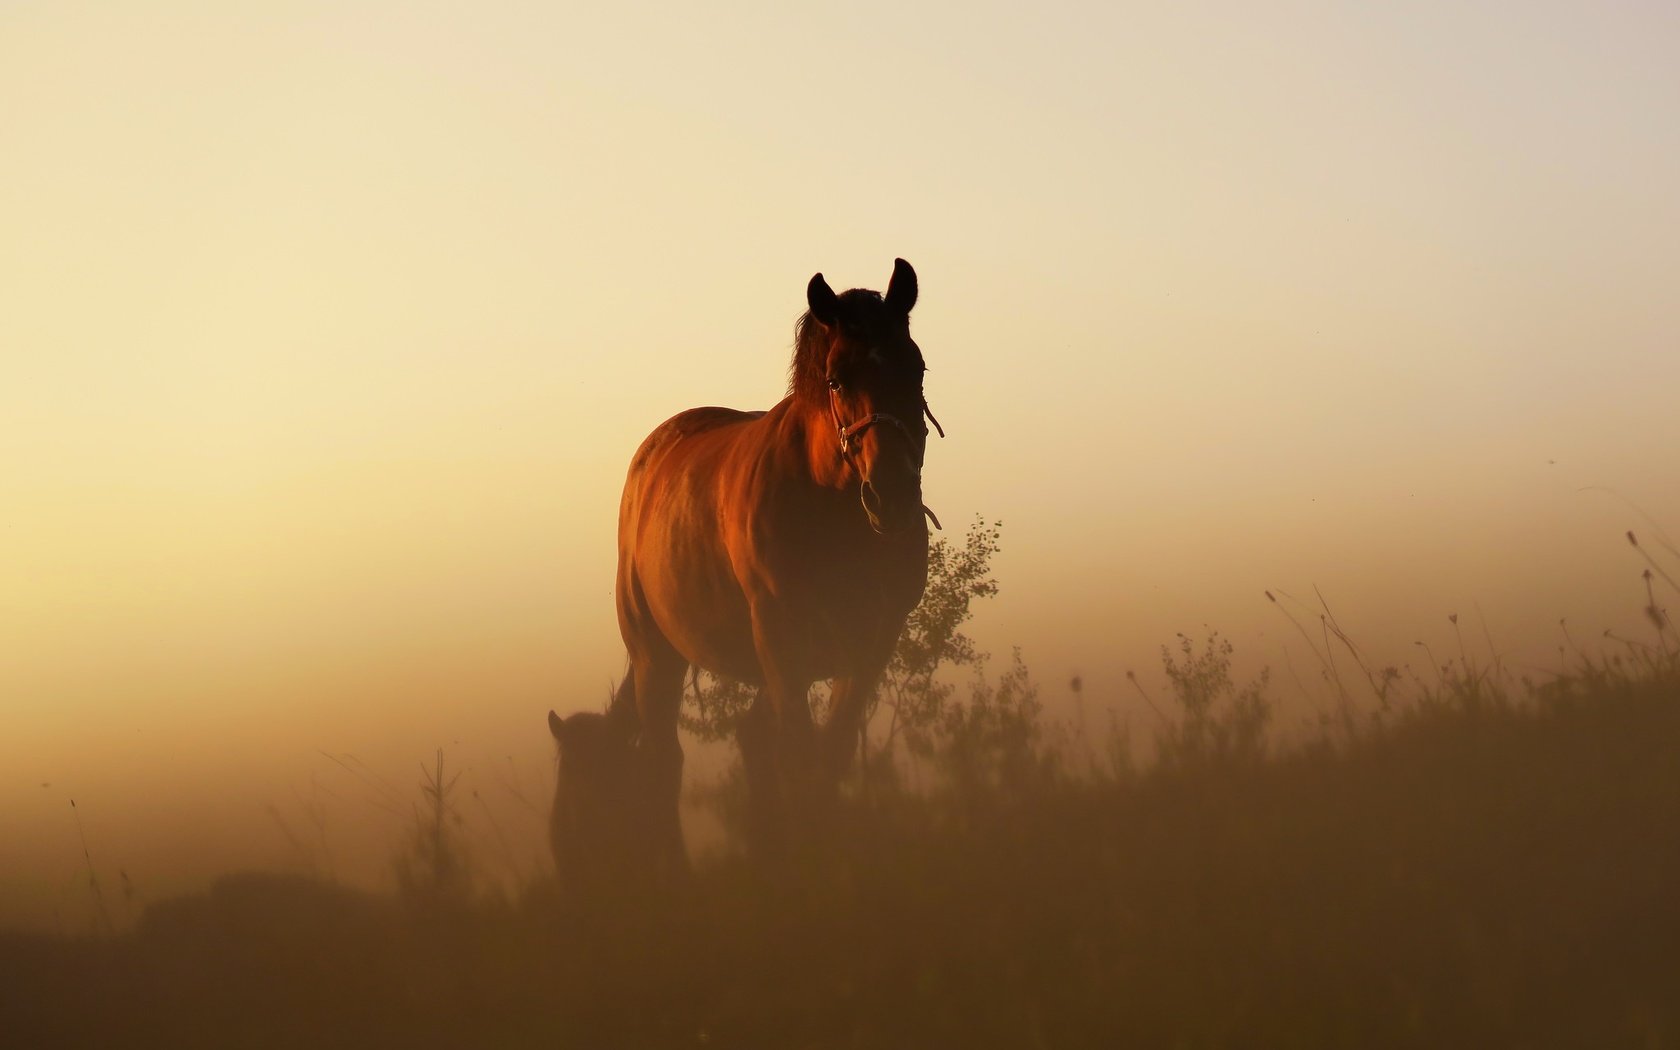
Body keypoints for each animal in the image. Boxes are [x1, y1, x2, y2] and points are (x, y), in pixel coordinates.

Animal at [554, 255, 940, 866]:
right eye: (836, 379)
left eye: (917, 370)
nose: (892, 496)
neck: (829, 509)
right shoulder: (781, 638)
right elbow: (797, 757)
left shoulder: (871, 643)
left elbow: (827, 756)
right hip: (656, 655)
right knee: (666, 761)